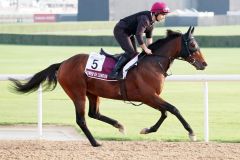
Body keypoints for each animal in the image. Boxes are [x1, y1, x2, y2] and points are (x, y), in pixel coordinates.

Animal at [10, 26, 207, 146]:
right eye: (193, 44)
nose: (204, 64)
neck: (153, 63)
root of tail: (64, 63)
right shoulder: (148, 96)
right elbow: (173, 109)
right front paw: (191, 133)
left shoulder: (150, 98)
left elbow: (165, 113)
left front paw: (147, 130)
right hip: (77, 93)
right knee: (82, 119)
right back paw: (95, 142)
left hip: (92, 92)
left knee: (94, 113)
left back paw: (119, 125)